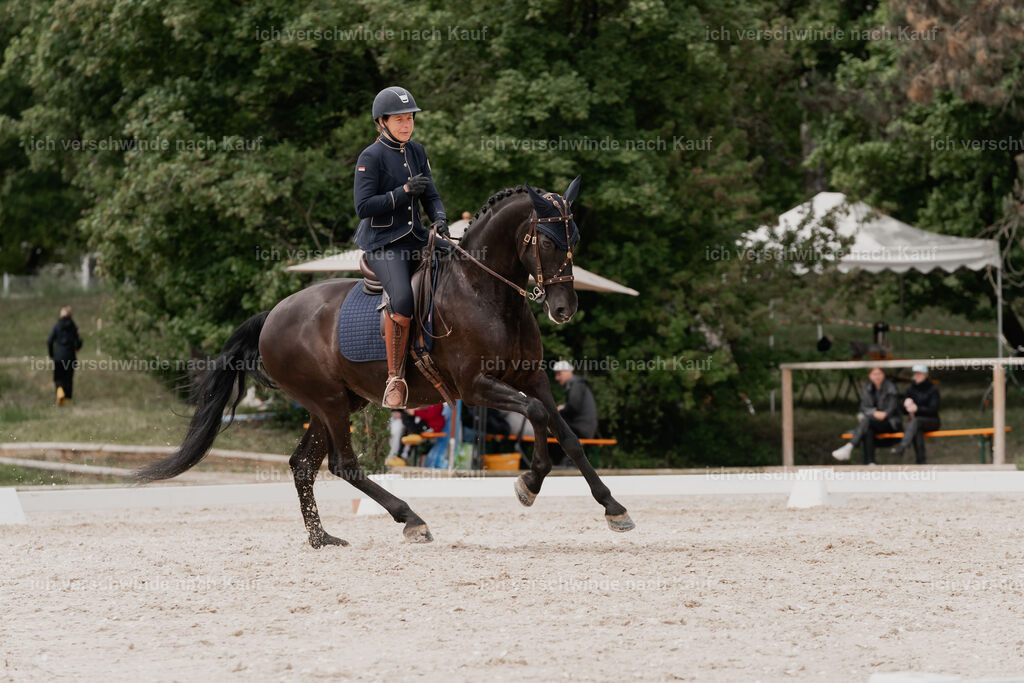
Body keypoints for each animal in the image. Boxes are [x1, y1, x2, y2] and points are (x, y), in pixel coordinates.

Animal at [136, 177, 635, 547]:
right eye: (546, 240)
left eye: (574, 238)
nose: (564, 309)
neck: (486, 292)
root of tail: (272, 316)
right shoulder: (476, 388)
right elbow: (536, 417)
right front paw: (528, 483)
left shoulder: (532, 379)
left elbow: (567, 435)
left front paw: (613, 508)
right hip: (330, 402)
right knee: (345, 465)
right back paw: (410, 519)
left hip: (337, 404)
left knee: (303, 465)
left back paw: (323, 539)